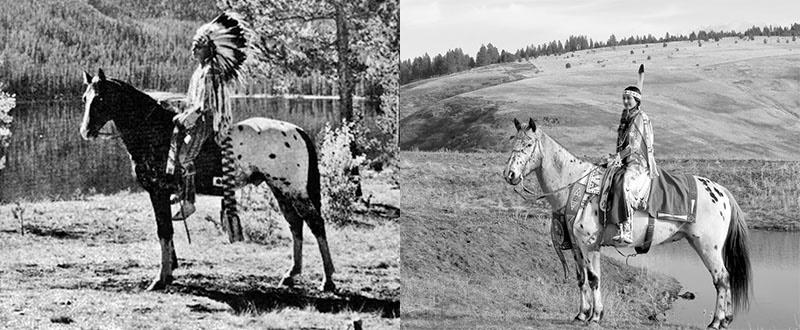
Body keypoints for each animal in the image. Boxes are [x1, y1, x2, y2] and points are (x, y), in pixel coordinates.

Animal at [79, 69, 334, 292]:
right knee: (295, 224)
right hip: (279, 189)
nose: (86, 131)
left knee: (315, 223)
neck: (155, 133)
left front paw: (160, 280)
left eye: (100, 98)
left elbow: (164, 231)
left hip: (294, 190)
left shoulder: (158, 191)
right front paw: (169, 272)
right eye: (84, 98)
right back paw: (291, 275)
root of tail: (297, 130)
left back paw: (328, 280)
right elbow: (167, 231)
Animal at [504, 117, 752, 328]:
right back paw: (726, 319)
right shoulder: (576, 246)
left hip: (708, 246)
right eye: (513, 141)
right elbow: (582, 279)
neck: (576, 185)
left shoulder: (589, 245)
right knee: (725, 277)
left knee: (721, 278)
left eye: (528, 144)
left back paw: (716, 321)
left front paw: (596, 316)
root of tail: (722, 192)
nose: (509, 174)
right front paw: (582, 314)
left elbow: (594, 278)